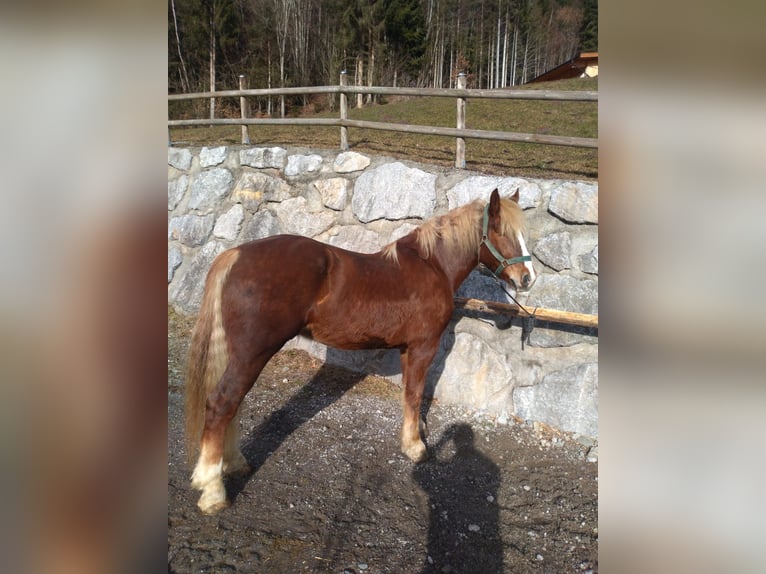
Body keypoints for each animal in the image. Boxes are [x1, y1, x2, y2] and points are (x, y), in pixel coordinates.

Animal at [184, 190, 540, 516]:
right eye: (502, 231)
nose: (528, 278)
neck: (432, 266)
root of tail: (235, 253)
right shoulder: (423, 347)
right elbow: (415, 394)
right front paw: (415, 447)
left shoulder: (408, 350)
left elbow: (411, 395)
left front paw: (414, 436)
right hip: (252, 353)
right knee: (222, 404)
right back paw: (213, 491)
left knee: (232, 405)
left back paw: (233, 463)